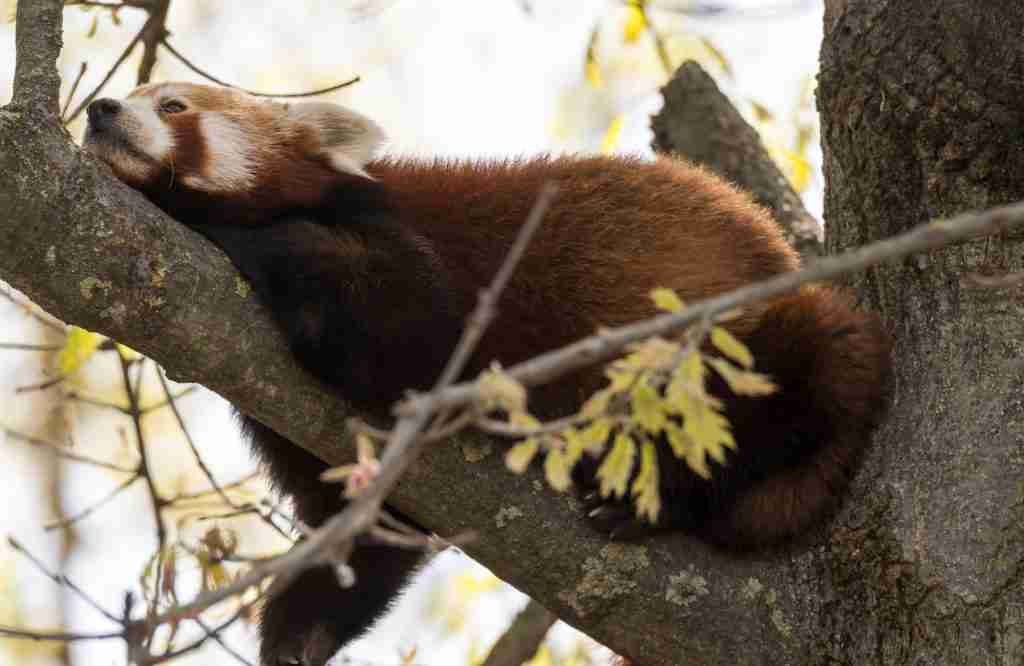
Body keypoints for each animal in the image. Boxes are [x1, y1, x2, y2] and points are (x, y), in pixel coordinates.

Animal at [83, 82, 892, 663]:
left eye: (172, 105)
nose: (99, 108)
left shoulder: (413, 259)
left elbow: (406, 326)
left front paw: (227, 229)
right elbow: (370, 519)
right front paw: (300, 628)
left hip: (756, 338)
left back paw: (660, 494)